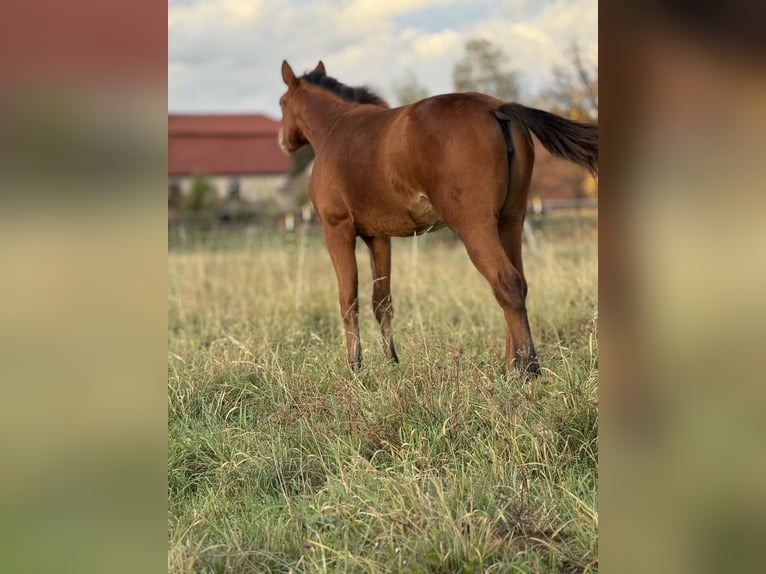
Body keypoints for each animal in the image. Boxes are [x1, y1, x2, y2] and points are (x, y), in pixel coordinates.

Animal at [278, 60, 598, 375]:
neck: (335, 129)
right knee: (520, 282)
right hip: (511, 221)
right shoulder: (378, 236)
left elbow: (348, 299)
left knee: (507, 283)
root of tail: (496, 107)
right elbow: (382, 301)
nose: (282, 141)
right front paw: (392, 363)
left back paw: (527, 368)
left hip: (474, 226)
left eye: (282, 103)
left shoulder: (337, 230)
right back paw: (511, 367)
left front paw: (354, 367)